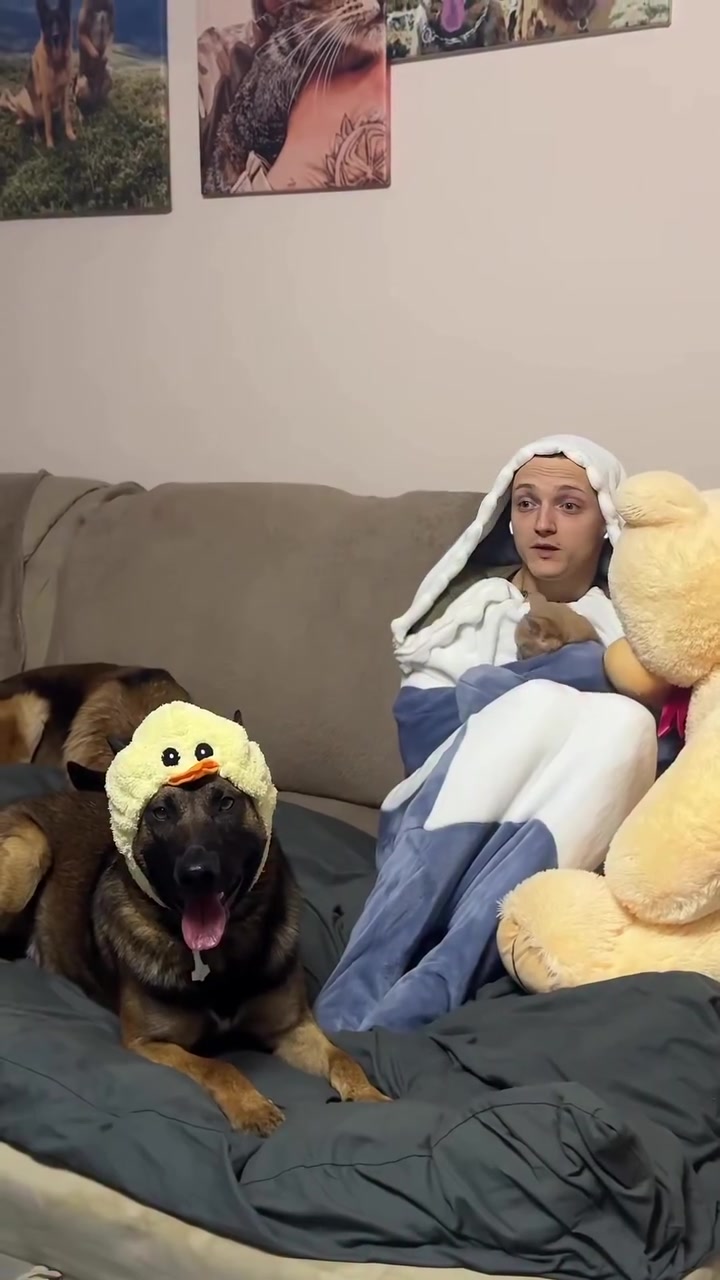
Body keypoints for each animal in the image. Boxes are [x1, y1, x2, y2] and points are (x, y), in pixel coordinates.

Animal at [0, 745, 389, 1135]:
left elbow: (344, 1058)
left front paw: (369, 1097)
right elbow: (217, 1066)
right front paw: (252, 1107)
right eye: (160, 812)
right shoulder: (149, 1043)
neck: (220, 958)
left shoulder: (293, 1028)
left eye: (226, 803)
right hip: (29, 854)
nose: (197, 874)